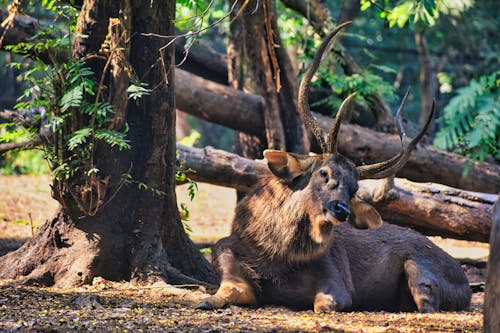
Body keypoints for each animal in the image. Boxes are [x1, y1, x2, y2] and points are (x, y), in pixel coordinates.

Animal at [197, 22, 470, 312]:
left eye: (354, 189)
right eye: (323, 172)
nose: (341, 210)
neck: (275, 257)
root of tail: (467, 286)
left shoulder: (337, 282)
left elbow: (325, 303)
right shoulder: (225, 253)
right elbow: (228, 291)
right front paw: (206, 301)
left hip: (420, 271)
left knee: (427, 304)